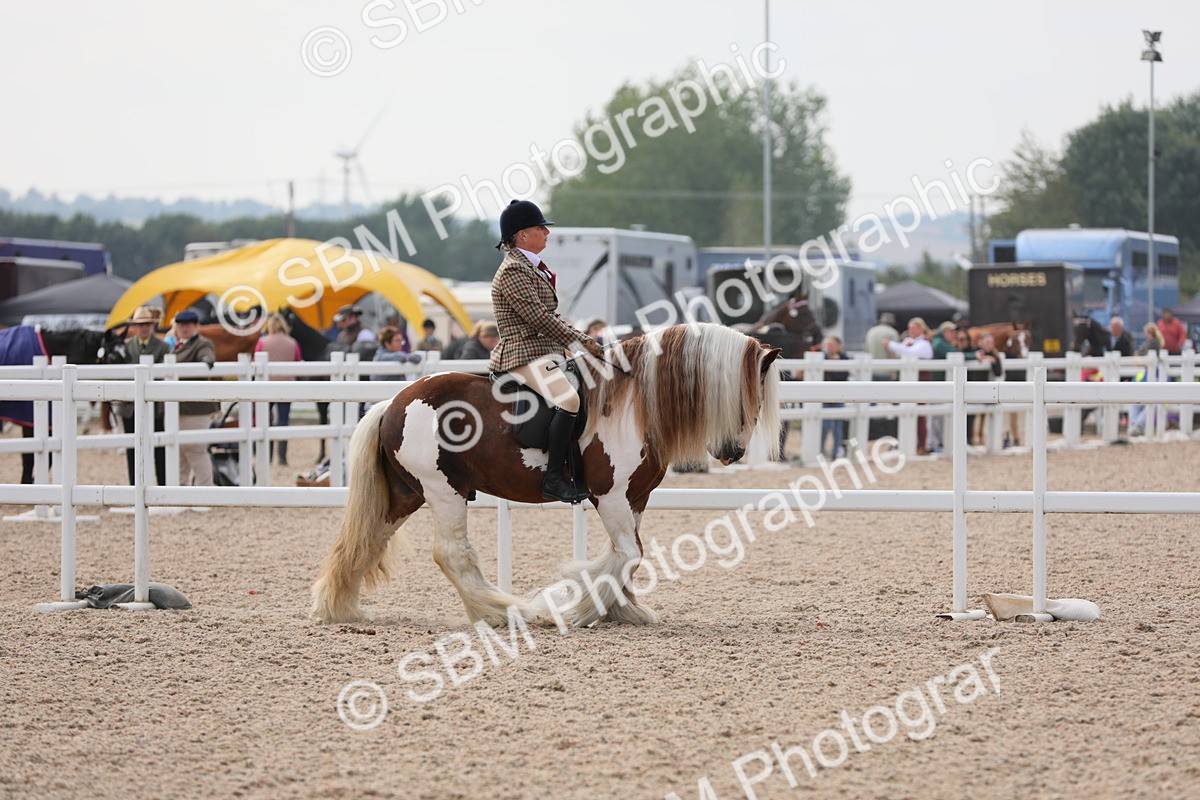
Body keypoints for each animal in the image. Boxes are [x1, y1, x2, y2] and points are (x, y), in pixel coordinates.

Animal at [311, 323, 782, 628]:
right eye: (748, 397)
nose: (733, 453)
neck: (632, 403)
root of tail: (393, 402)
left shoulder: (635, 498)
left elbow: (626, 554)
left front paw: (621, 609)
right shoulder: (610, 495)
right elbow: (628, 554)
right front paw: (579, 605)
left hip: (405, 494)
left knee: (365, 540)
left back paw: (338, 607)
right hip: (444, 492)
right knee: (452, 553)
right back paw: (503, 612)